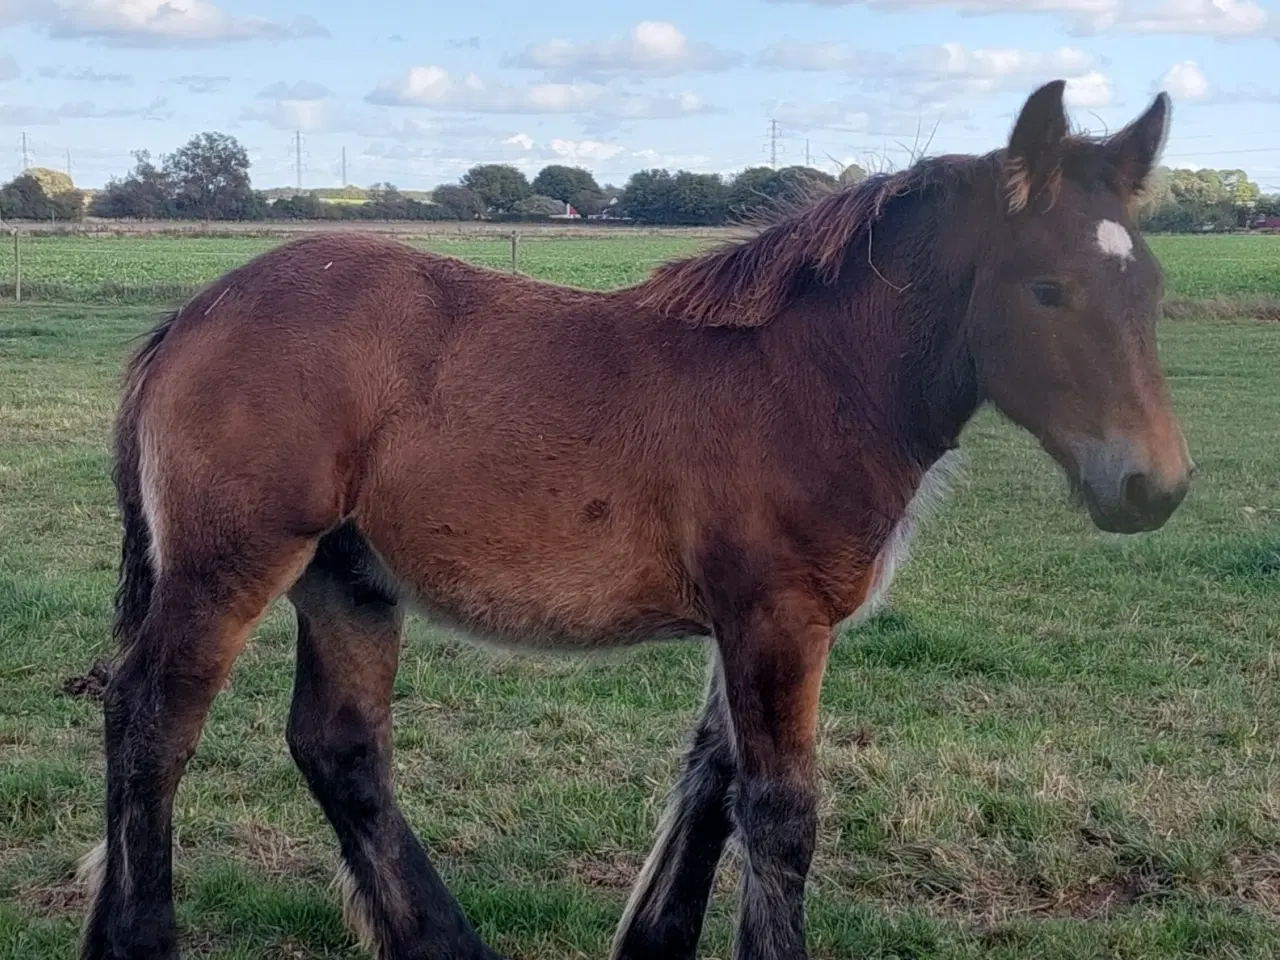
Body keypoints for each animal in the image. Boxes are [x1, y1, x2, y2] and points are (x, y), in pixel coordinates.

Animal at [85, 82, 1192, 960]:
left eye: (1149, 283)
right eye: (1047, 289)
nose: (1155, 488)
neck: (809, 380)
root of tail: (193, 313)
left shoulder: (746, 623)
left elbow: (709, 786)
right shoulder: (779, 619)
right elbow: (779, 814)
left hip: (348, 578)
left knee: (340, 748)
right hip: (231, 564)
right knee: (150, 720)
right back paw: (137, 938)